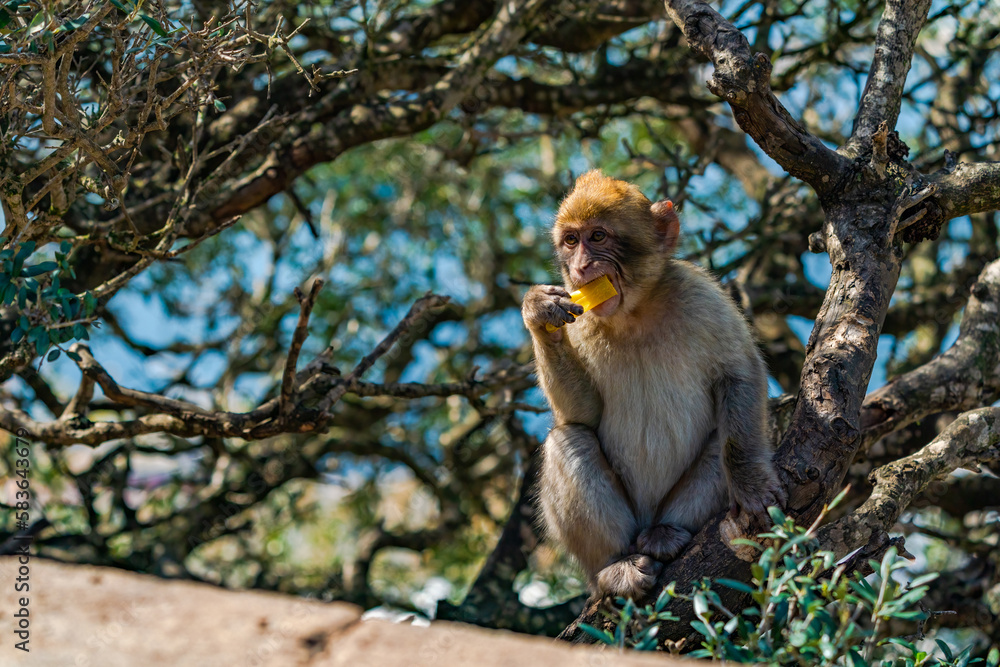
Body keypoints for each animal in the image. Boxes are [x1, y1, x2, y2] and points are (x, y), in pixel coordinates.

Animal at [522, 170, 786, 599]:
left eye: (598, 236)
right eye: (571, 240)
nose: (580, 267)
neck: (634, 312)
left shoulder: (700, 294)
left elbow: (739, 372)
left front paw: (751, 484)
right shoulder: (580, 318)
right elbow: (582, 413)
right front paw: (538, 312)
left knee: (720, 439)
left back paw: (667, 534)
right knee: (570, 438)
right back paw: (615, 566)